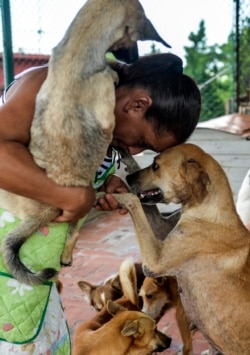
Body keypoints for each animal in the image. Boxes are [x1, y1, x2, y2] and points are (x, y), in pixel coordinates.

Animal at [0, 0, 170, 286]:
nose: (134, 59)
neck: (77, 49)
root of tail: (40, 213)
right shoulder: (108, 118)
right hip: (83, 202)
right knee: (73, 231)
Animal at [114, 144, 250, 355]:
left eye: (155, 166)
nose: (129, 179)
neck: (209, 211)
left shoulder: (154, 262)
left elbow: (134, 202)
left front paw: (116, 192)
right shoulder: (163, 227)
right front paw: (125, 156)